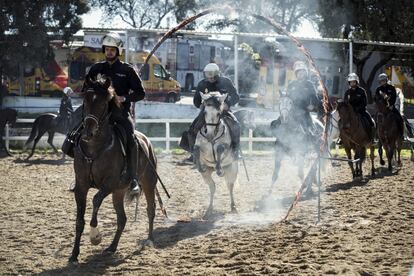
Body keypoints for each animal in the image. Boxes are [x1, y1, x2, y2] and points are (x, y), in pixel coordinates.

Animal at [69, 76, 157, 266]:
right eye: (85, 101)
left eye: (103, 103)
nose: (87, 132)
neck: (95, 149)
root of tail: (147, 142)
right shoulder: (81, 186)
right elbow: (79, 221)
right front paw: (74, 255)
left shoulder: (109, 183)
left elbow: (95, 200)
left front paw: (95, 236)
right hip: (119, 192)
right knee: (122, 219)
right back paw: (112, 247)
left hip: (148, 184)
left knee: (150, 210)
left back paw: (149, 239)